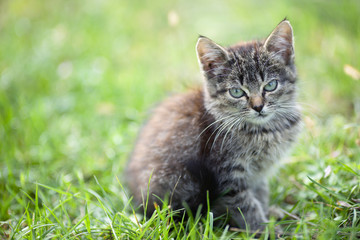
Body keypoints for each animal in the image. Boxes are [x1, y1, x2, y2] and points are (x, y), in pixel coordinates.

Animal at [126, 20, 300, 231]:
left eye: (270, 86)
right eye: (236, 92)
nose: (258, 107)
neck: (264, 130)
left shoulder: (258, 174)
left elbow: (260, 192)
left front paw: (267, 213)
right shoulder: (227, 175)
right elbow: (245, 204)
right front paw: (262, 228)